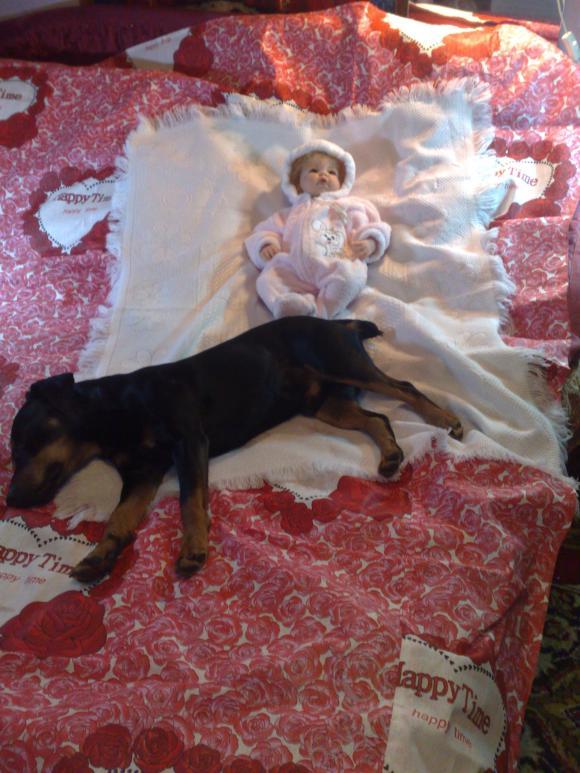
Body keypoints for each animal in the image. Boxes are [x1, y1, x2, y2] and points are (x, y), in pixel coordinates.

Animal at [6, 316, 463, 583]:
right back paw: (390, 456)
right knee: (378, 419)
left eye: (27, 443)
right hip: (324, 403)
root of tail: (338, 320)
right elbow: (120, 518)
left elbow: (190, 502)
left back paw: (446, 419)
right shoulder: (143, 471)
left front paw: (193, 549)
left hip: (342, 363)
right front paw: (100, 558)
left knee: (404, 388)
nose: (11, 499)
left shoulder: (189, 441)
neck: (113, 414)